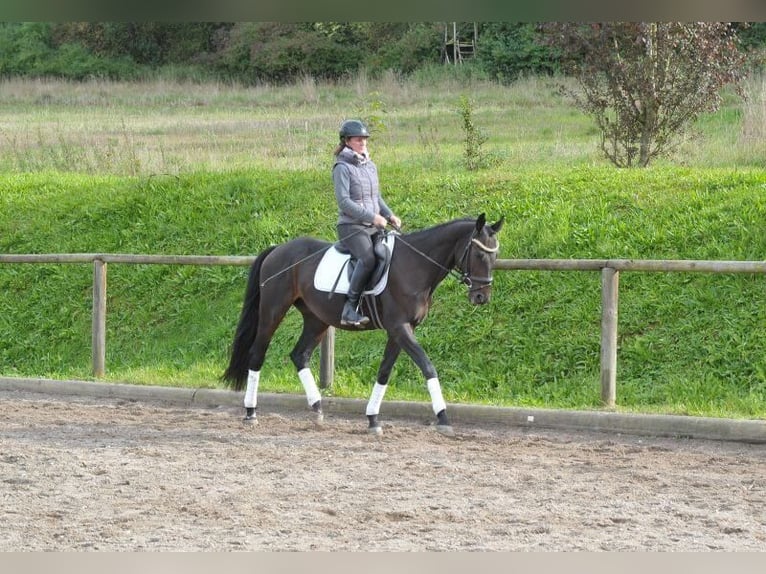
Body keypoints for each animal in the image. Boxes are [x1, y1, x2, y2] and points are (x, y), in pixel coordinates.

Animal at [224, 215, 504, 436]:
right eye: (480, 253)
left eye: (496, 255)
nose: (482, 297)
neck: (415, 265)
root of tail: (277, 249)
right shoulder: (400, 328)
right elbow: (427, 366)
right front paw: (443, 417)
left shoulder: (401, 330)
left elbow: (384, 372)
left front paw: (372, 419)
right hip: (273, 311)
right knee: (257, 354)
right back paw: (250, 412)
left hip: (317, 319)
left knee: (299, 355)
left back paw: (317, 409)